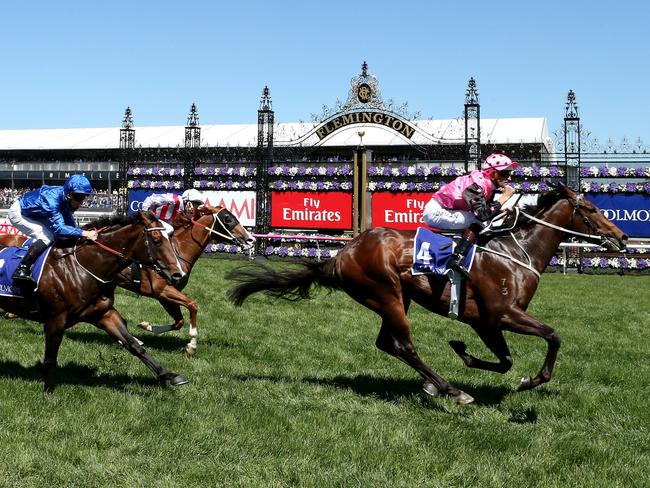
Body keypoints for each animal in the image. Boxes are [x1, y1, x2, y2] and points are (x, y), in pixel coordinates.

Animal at [0, 212, 187, 390]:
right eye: (156, 240)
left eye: (170, 238)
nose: (178, 274)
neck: (84, 267)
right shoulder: (56, 319)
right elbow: (50, 358)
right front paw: (48, 391)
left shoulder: (104, 313)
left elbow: (134, 344)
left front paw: (170, 375)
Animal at [112, 206, 254, 354]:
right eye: (227, 219)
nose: (250, 239)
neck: (178, 251)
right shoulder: (162, 290)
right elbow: (192, 305)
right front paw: (192, 345)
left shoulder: (166, 295)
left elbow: (179, 322)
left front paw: (147, 326)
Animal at [225, 183, 624, 404]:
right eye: (591, 209)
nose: (620, 238)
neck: (514, 252)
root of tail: (342, 254)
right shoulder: (502, 314)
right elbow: (552, 336)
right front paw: (532, 380)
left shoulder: (484, 321)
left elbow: (506, 360)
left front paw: (464, 352)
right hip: (385, 294)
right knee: (404, 346)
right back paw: (450, 390)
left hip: (396, 298)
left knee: (388, 344)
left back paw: (434, 384)